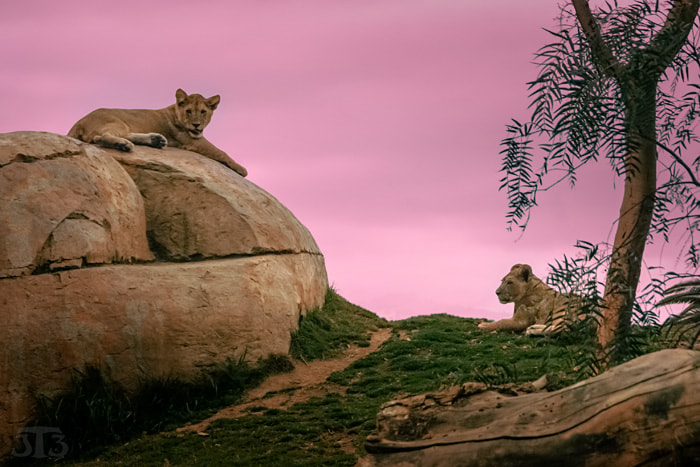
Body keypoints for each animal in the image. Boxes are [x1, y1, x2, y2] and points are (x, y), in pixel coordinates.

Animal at [68, 89, 247, 177]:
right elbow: (220, 151)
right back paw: (123, 145)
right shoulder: (192, 141)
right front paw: (241, 169)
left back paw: (155, 140)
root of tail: (77, 123)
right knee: (100, 137)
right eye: (189, 111)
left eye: (203, 112)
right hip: (116, 122)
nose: (196, 125)